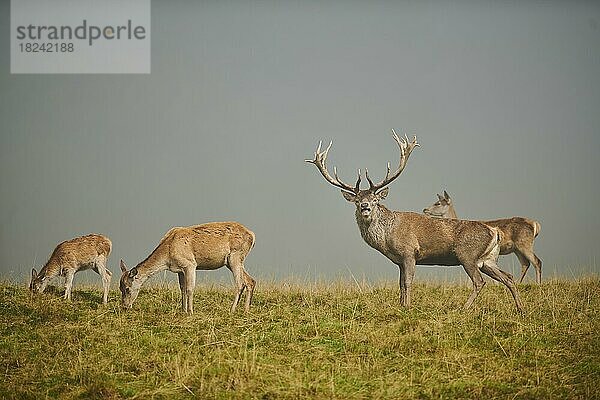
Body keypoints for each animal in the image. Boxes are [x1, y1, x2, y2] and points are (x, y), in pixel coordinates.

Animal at [119, 222, 255, 312]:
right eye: (120, 287)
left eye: (127, 288)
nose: (125, 307)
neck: (168, 254)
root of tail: (252, 236)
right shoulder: (180, 270)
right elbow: (182, 289)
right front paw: (183, 310)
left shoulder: (190, 264)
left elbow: (190, 288)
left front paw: (190, 312)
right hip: (231, 262)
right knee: (250, 281)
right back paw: (246, 310)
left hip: (235, 257)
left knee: (240, 283)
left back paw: (231, 310)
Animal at [308, 131, 524, 312]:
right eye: (357, 200)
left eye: (375, 200)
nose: (365, 207)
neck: (387, 238)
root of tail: (494, 232)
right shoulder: (398, 261)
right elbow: (400, 284)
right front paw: (401, 305)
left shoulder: (409, 252)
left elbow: (408, 282)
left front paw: (408, 307)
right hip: (488, 259)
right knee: (508, 278)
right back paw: (520, 309)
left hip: (467, 255)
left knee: (479, 281)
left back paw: (463, 309)